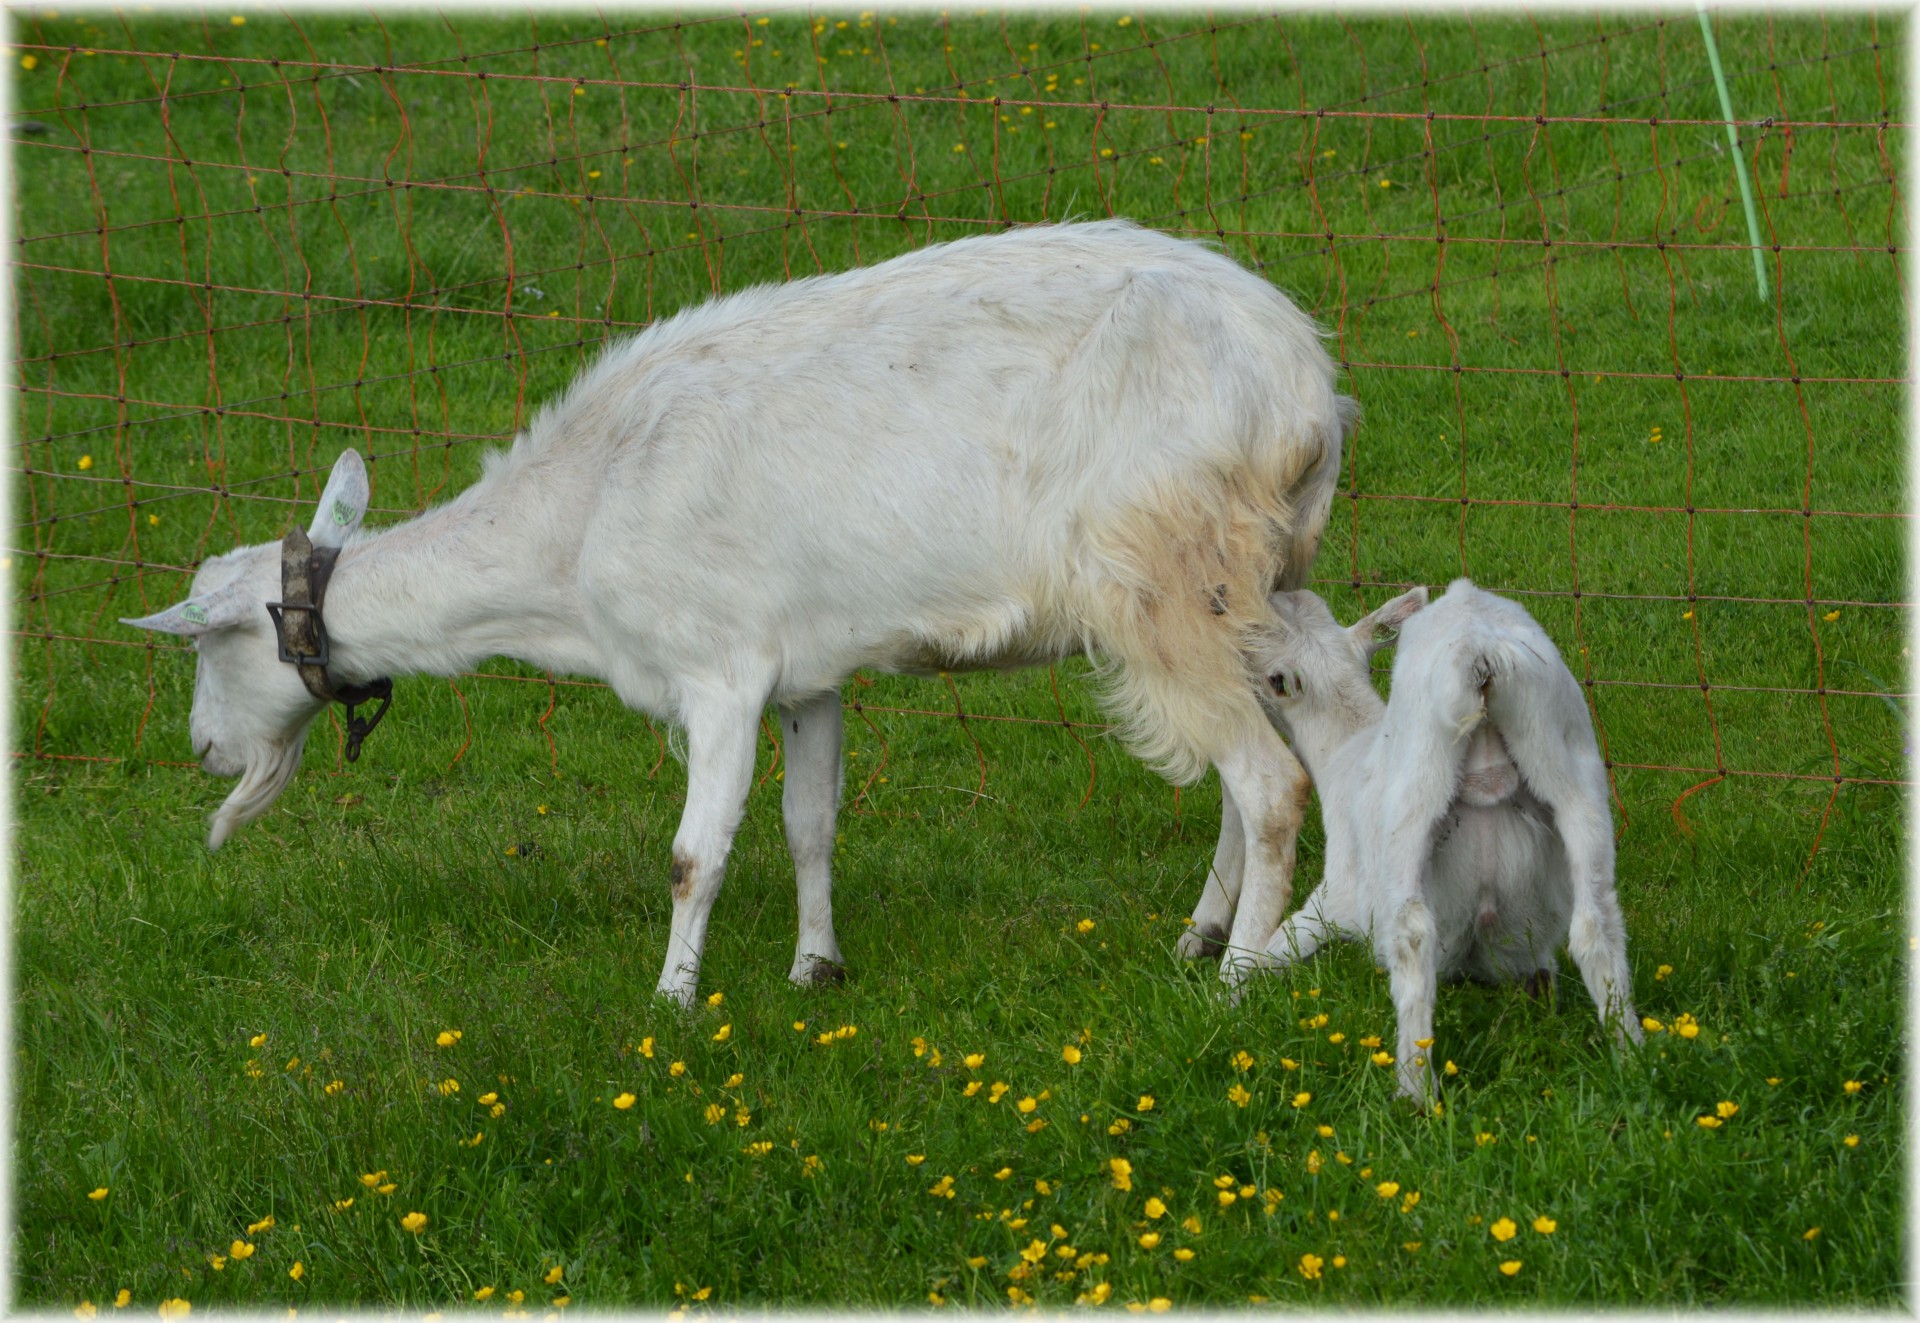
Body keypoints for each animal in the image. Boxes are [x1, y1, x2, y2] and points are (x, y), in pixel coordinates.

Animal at [120, 221, 1351, 998]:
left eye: (209, 649)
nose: (200, 751)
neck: (574, 529)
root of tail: (1309, 388)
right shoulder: (808, 673)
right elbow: (811, 822)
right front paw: (816, 967)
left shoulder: (718, 670)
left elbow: (693, 854)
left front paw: (671, 1000)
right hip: (1255, 581)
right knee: (1258, 763)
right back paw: (1203, 932)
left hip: (1169, 573)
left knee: (1270, 781)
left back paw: (1240, 974)